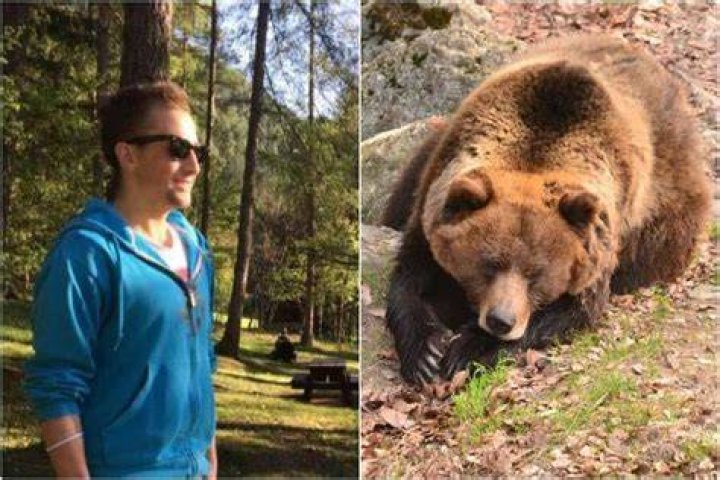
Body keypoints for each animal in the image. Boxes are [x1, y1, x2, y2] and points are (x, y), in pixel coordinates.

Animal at [381, 34, 712, 385]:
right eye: (488, 264)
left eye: (536, 274)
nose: (501, 321)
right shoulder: (435, 191)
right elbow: (411, 277)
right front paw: (426, 353)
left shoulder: (600, 238)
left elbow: (572, 309)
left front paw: (468, 349)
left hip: (666, 220)